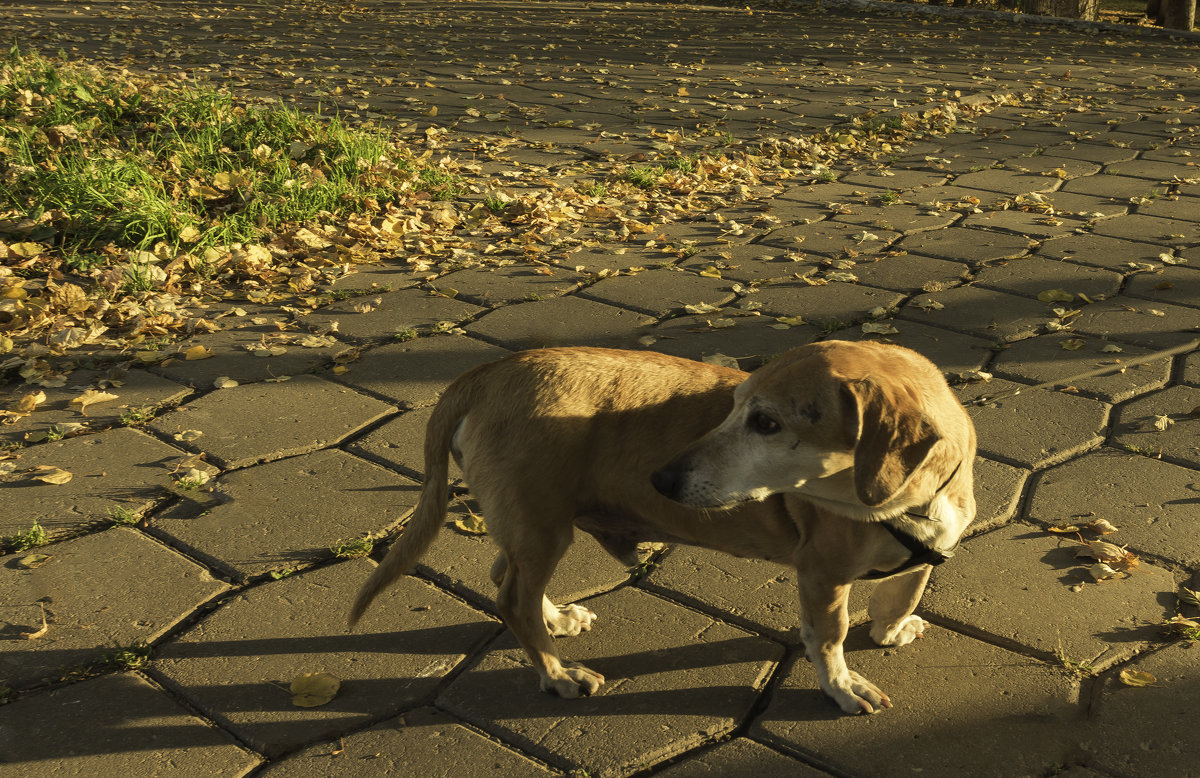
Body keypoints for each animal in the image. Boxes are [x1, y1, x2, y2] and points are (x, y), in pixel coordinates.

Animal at [350, 343, 974, 715]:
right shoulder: (822, 575)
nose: (662, 478)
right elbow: (829, 638)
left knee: (507, 576)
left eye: (765, 422)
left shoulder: (924, 555)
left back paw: (556, 619)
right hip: (542, 526)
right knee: (512, 600)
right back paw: (557, 674)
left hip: (534, 525)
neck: (906, 506)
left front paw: (891, 629)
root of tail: (485, 374)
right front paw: (842, 687)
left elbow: (901, 592)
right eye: (734, 407)